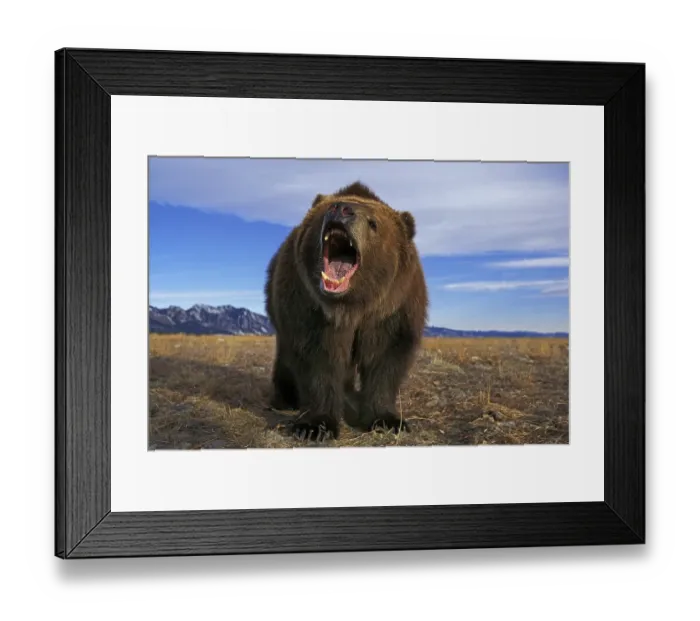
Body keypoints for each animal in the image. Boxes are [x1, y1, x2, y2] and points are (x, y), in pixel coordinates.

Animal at [264, 181, 428, 441]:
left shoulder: (391, 309)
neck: (351, 306)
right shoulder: (310, 307)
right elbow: (318, 358)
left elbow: (385, 358)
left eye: (373, 223)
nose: (341, 209)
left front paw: (387, 420)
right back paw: (285, 398)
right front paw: (315, 426)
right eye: (327, 209)